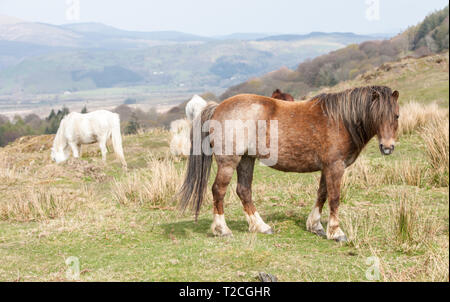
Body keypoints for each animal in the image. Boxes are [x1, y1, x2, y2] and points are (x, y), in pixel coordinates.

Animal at [178, 86, 400, 242]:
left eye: (396, 116)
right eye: (377, 115)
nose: (388, 147)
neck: (340, 121)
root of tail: (217, 108)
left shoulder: (327, 168)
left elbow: (322, 194)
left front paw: (316, 226)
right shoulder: (335, 167)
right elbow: (335, 198)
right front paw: (336, 232)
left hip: (247, 159)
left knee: (244, 190)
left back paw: (261, 226)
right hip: (229, 161)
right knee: (219, 190)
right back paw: (222, 229)